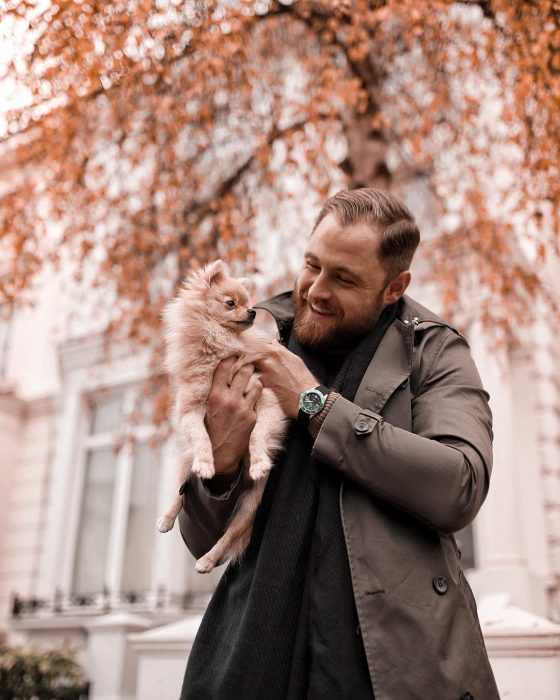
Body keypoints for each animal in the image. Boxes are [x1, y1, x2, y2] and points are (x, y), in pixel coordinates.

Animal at [158, 260, 288, 572]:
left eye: (249, 303)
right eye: (231, 303)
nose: (253, 311)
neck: (219, 345)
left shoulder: (266, 400)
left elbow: (257, 434)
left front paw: (259, 461)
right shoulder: (190, 409)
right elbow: (202, 436)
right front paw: (207, 463)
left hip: (250, 506)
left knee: (228, 535)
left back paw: (207, 560)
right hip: (185, 466)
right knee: (180, 495)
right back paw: (166, 518)